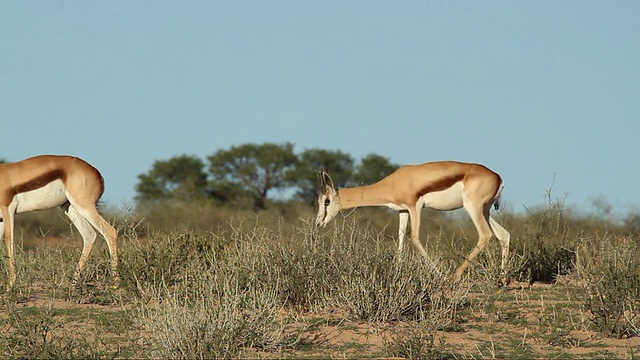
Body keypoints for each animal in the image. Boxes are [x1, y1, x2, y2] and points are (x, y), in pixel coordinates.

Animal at [0, 155, 119, 290]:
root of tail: (97, 174)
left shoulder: (8, 208)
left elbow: (9, 239)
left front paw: (9, 286)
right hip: (70, 208)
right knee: (89, 235)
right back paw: (73, 284)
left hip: (84, 206)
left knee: (110, 232)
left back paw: (115, 284)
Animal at [316, 160, 510, 282]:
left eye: (326, 201)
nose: (318, 223)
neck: (395, 182)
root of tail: (498, 177)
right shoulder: (403, 210)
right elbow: (401, 238)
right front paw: (397, 272)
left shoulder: (415, 206)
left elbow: (415, 238)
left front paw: (439, 274)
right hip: (485, 211)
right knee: (504, 235)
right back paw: (502, 278)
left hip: (473, 208)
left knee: (485, 235)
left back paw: (453, 277)